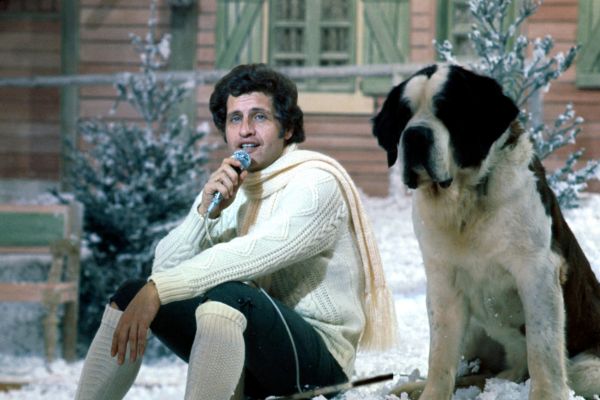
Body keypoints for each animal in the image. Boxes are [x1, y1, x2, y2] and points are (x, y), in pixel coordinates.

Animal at [372, 63, 600, 400]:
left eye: (448, 111)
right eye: (403, 116)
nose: (414, 135)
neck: (468, 197)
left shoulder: (537, 271)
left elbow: (543, 347)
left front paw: (547, 394)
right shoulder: (443, 282)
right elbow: (440, 355)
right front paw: (431, 393)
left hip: (586, 369)